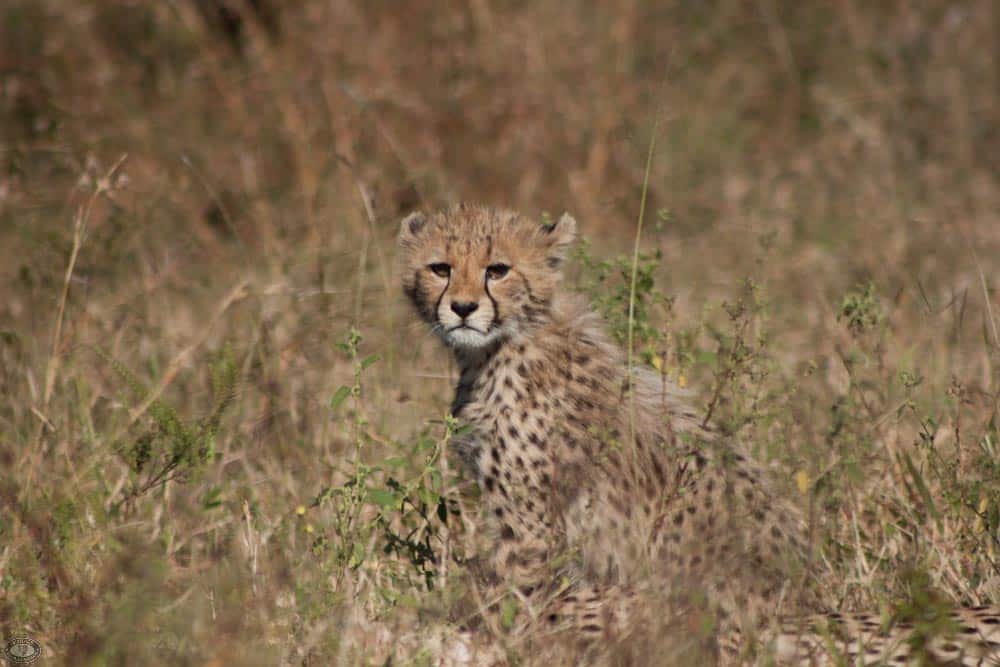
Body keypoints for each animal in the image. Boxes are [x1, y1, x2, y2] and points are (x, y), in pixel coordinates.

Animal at [397, 203, 1000, 665]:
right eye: (440, 267)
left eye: (497, 269)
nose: (463, 308)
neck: (505, 344)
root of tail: (795, 613)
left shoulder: (529, 530)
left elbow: (512, 597)